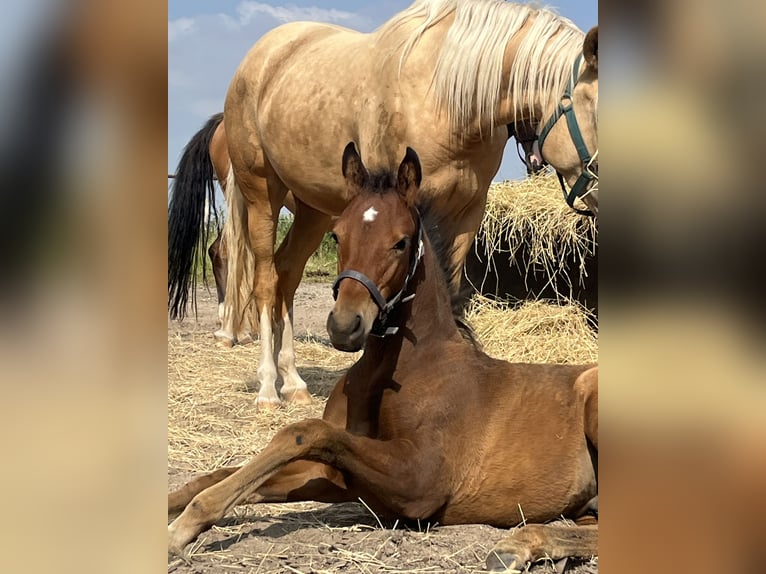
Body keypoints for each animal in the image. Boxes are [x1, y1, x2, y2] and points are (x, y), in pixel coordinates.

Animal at [166, 144, 600, 572]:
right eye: (337, 235)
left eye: (401, 242)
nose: (345, 326)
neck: (410, 367)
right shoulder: (335, 475)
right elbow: (225, 472)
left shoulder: (422, 481)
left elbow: (303, 433)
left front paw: (184, 526)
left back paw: (517, 544)